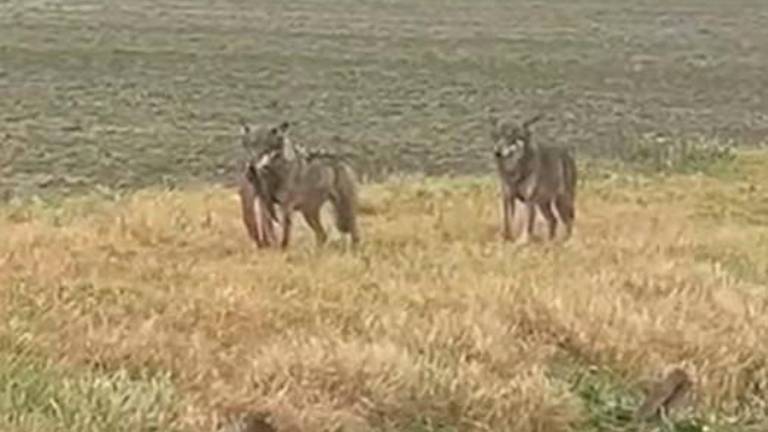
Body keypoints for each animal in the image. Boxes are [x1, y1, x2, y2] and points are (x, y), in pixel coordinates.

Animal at [238, 121, 362, 250]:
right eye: (251, 145)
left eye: (268, 148)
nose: (252, 168)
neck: (275, 174)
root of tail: (344, 162)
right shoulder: (264, 202)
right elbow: (267, 226)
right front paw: (270, 246)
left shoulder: (286, 206)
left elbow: (285, 233)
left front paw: (282, 249)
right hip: (309, 213)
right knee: (322, 235)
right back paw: (317, 252)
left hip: (345, 209)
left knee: (354, 233)